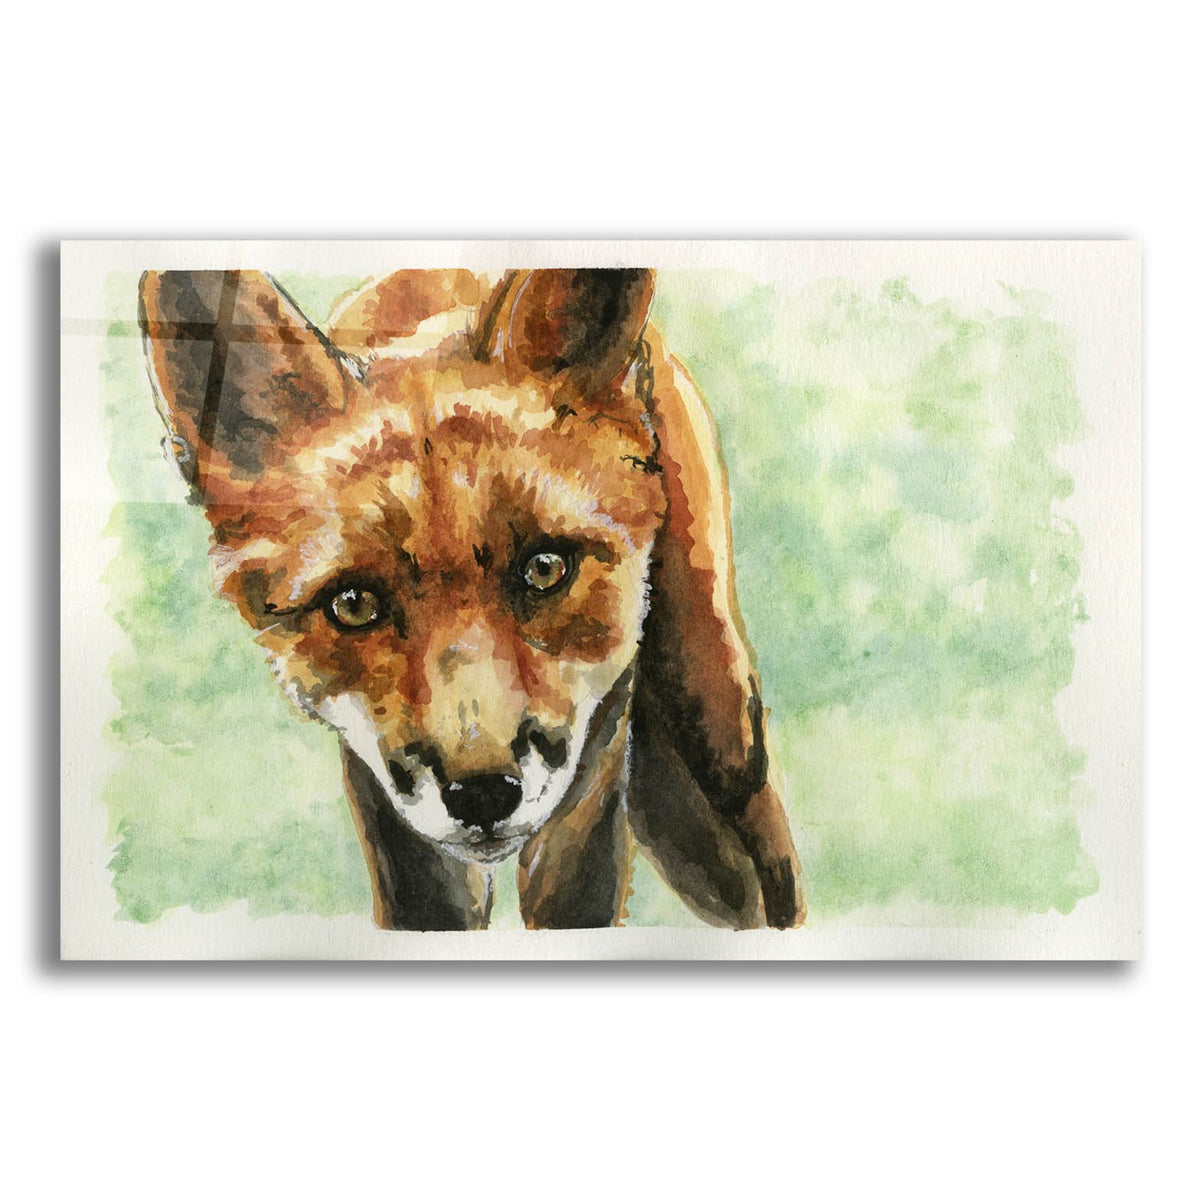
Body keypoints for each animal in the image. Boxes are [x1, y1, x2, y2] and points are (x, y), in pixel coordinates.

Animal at [138, 266, 804, 931]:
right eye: (353, 605)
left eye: (544, 568)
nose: (482, 793)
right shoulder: (385, 800)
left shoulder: (598, 748)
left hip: (723, 745)